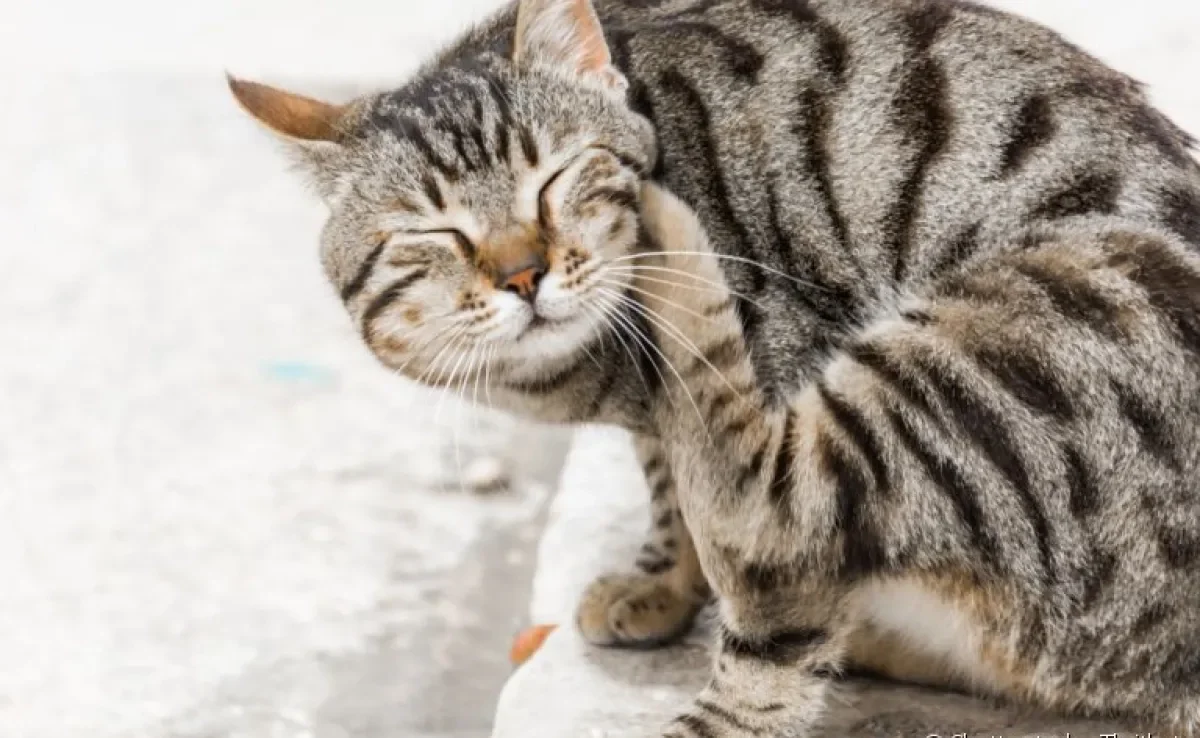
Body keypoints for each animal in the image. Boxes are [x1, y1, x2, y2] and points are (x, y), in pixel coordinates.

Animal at [226, 0, 1200, 734]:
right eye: (436, 232)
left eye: (555, 181)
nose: (523, 275)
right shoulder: (658, 418)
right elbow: (670, 485)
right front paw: (661, 584)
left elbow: (737, 556)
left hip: (1030, 321)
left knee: (777, 521)